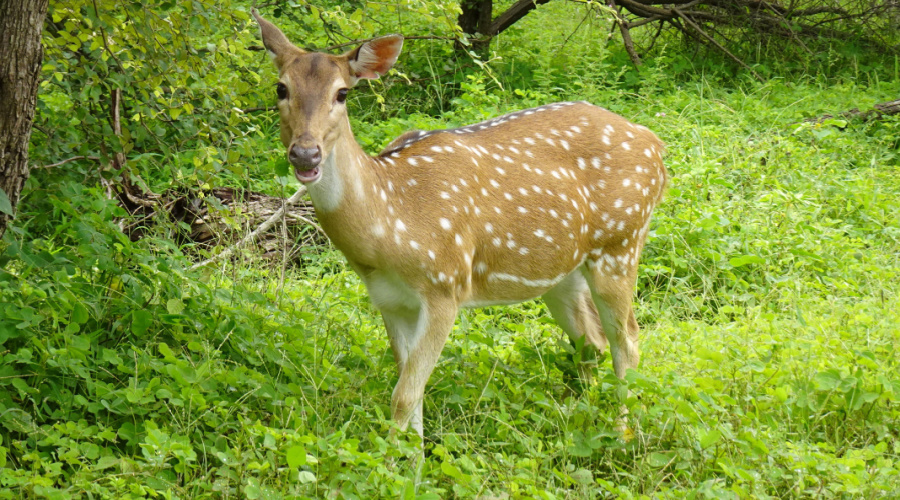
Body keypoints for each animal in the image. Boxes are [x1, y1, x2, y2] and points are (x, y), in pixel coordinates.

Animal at [253, 10, 668, 438]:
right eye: (281, 87)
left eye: (342, 94)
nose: (306, 153)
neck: (387, 228)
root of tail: (656, 145)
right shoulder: (389, 301)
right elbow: (411, 391)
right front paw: (411, 455)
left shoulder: (446, 284)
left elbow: (403, 395)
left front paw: (396, 457)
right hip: (562, 271)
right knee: (592, 341)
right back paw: (580, 422)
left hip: (621, 244)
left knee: (628, 341)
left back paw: (621, 434)